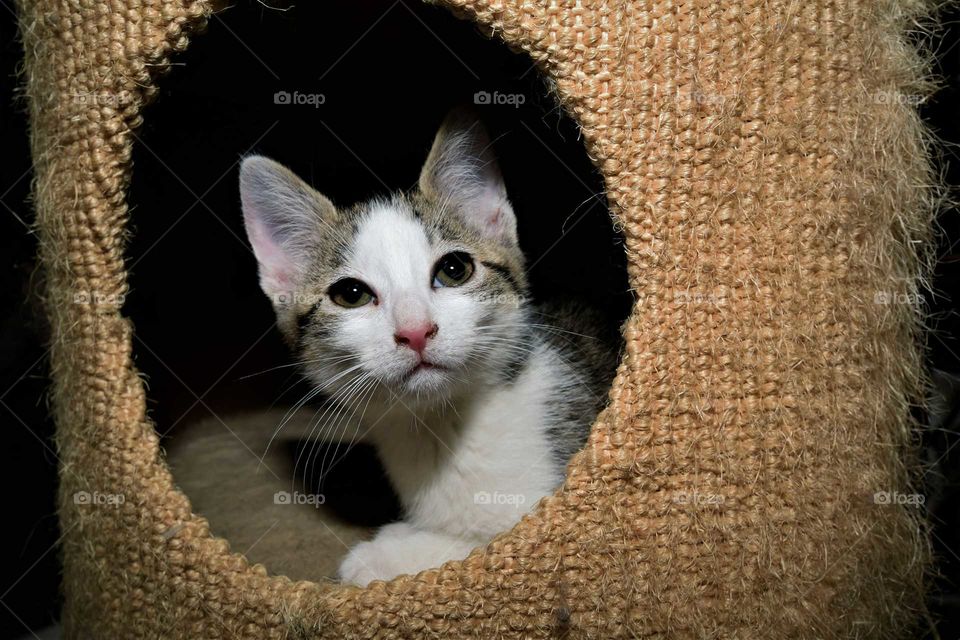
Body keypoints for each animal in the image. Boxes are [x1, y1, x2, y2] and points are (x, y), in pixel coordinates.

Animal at [236, 110, 620, 584]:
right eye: (351, 294)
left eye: (454, 269)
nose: (416, 331)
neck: (441, 428)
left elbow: (492, 543)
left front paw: (384, 554)